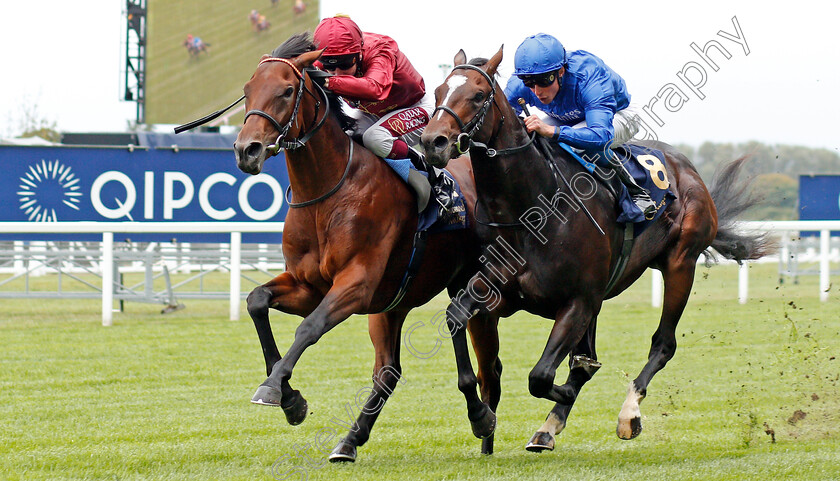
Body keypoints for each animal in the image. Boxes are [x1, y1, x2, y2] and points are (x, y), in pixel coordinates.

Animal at [231, 34, 498, 462]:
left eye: (287, 90)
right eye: (247, 89)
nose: (247, 150)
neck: (326, 192)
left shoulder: (356, 283)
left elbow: (309, 327)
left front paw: (274, 389)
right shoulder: (309, 286)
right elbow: (257, 301)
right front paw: (291, 399)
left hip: (467, 279)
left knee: (464, 335)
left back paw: (481, 416)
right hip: (392, 304)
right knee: (388, 371)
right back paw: (350, 441)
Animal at [420, 48, 776, 450]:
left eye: (479, 95)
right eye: (438, 91)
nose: (433, 141)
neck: (529, 213)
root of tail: (688, 170)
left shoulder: (579, 300)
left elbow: (543, 376)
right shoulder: (495, 289)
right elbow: (457, 319)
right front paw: (481, 417)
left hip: (680, 263)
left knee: (663, 344)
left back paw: (627, 414)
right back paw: (550, 425)